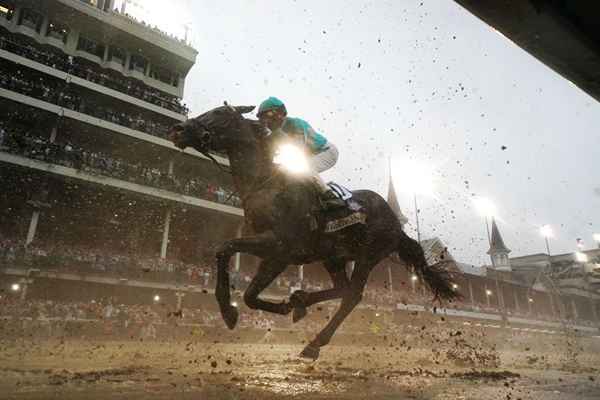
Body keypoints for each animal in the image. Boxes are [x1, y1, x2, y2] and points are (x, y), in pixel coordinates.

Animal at [169, 103, 460, 360]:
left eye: (219, 113)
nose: (178, 129)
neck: (265, 184)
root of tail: (397, 227)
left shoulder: (279, 248)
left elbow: (231, 258)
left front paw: (231, 312)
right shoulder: (271, 249)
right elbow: (243, 283)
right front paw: (281, 306)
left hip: (368, 255)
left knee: (352, 295)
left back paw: (313, 343)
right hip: (334, 257)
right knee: (342, 288)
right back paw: (301, 300)